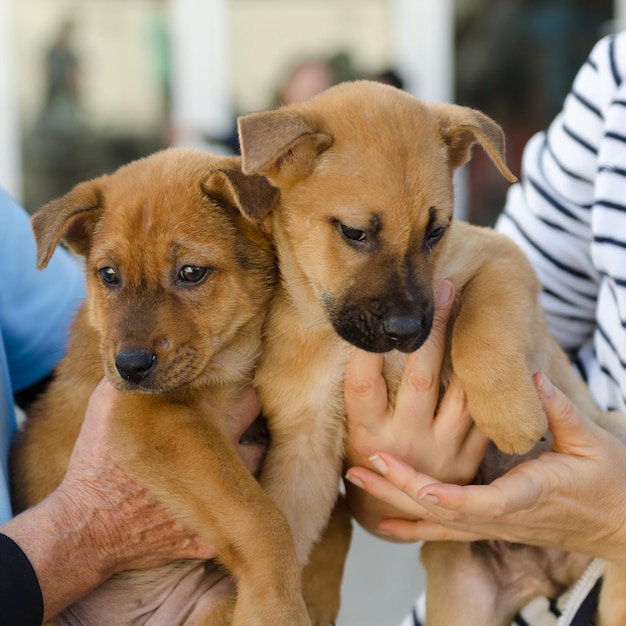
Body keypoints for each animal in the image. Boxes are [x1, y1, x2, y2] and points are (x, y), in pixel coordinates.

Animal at [11, 147, 308, 624]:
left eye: (190, 272)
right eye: (108, 275)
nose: (129, 366)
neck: (225, 363)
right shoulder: (150, 417)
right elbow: (261, 518)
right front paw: (278, 609)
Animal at [236, 81, 624, 624]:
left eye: (435, 232)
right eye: (355, 232)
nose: (406, 331)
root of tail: (551, 577)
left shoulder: (501, 260)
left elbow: (481, 324)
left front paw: (511, 416)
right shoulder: (304, 448)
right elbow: (282, 534)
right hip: (461, 598)